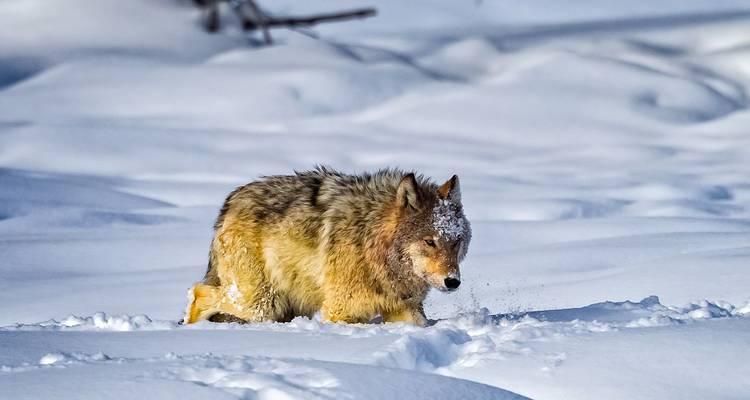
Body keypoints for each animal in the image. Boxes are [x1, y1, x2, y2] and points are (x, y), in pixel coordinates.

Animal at [183, 167, 471, 326]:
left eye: (455, 242)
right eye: (430, 241)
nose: (452, 281)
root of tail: (231, 201)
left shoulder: (405, 310)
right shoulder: (341, 312)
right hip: (260, 303)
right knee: (198, 292)